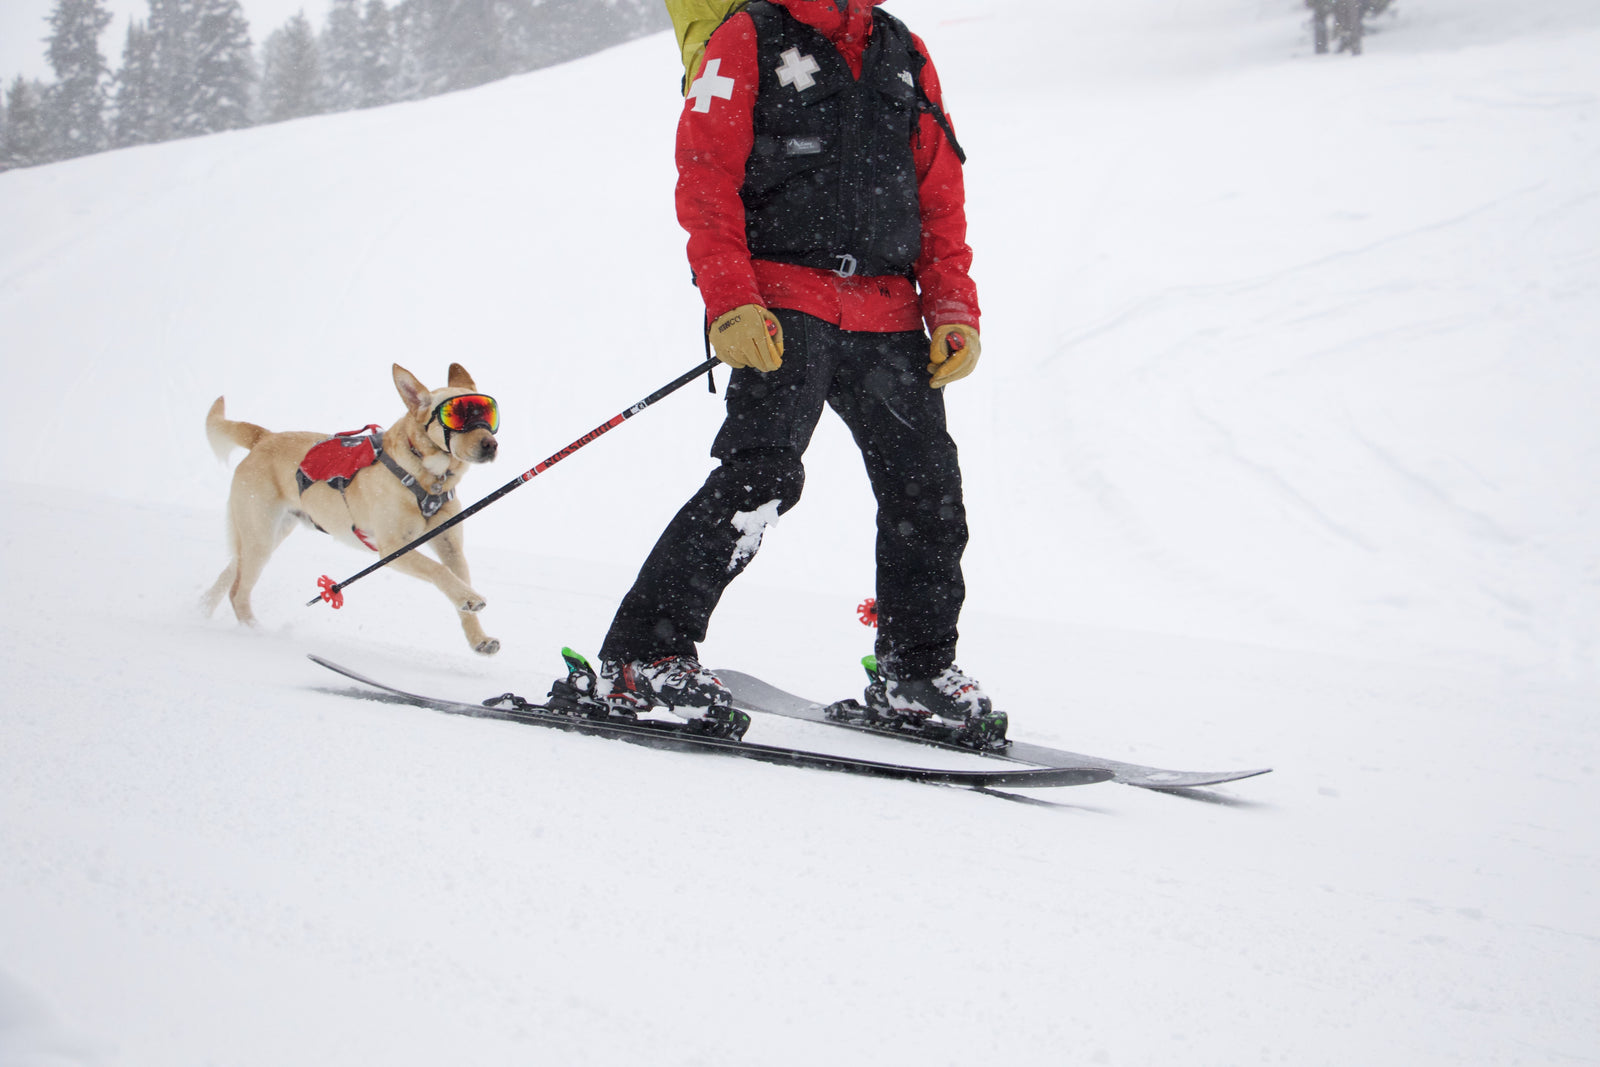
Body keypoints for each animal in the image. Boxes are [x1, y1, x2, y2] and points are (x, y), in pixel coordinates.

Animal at [203, 363, 499, 655]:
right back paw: (254, 632)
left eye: (489, 415)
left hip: (263, 537)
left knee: (230, 578)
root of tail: (264, 437)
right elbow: (439, 571)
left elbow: (457, 581)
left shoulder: (451, 548)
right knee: (238, 592)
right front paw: (469, 597)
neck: (427, 478)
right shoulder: (393, 549)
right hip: (260, 537)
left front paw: (478, 636)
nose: (491, 445)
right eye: (455, 416)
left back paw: (202, 610)